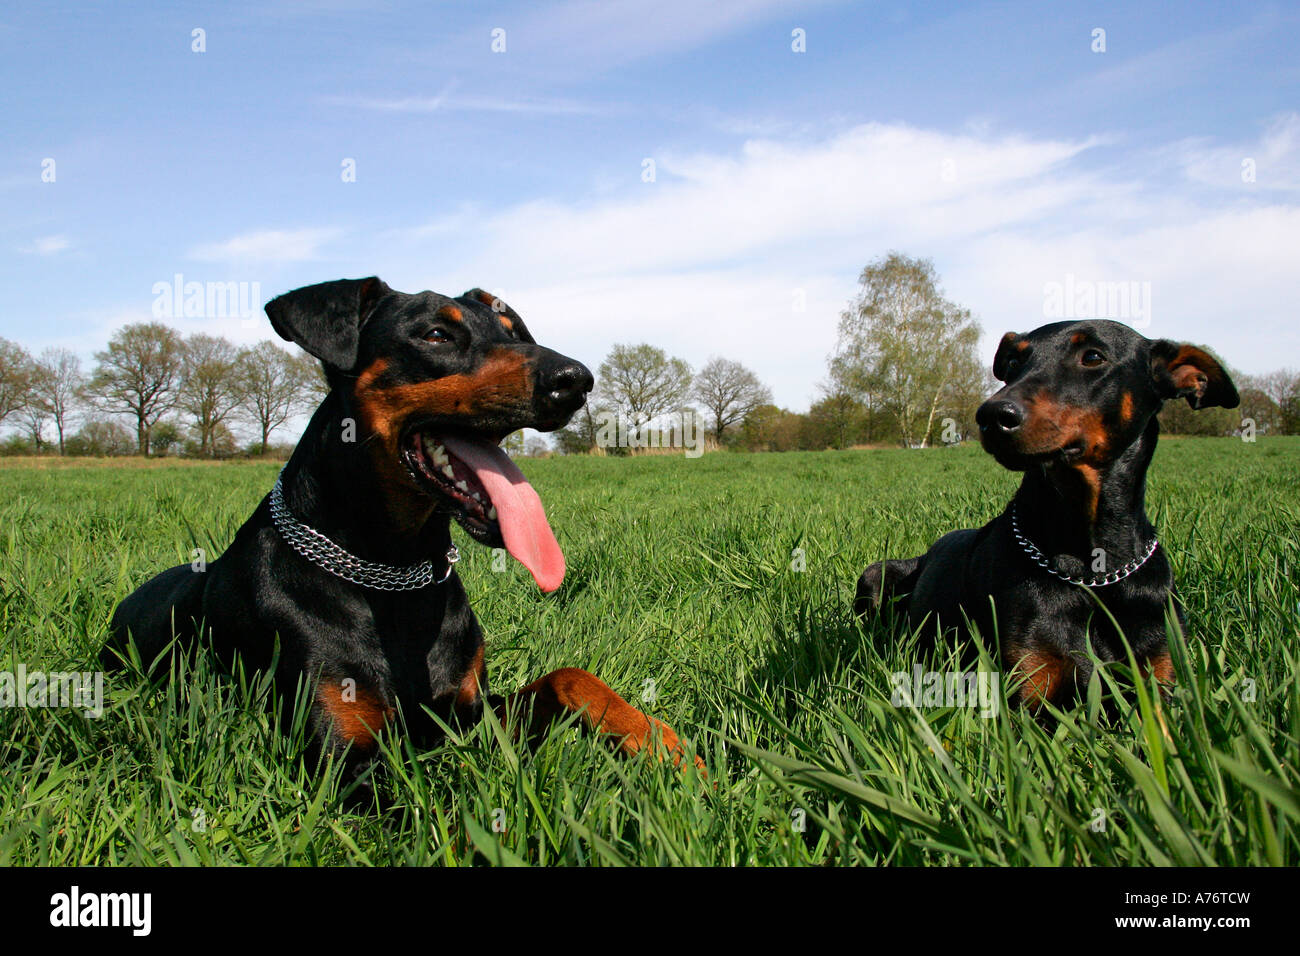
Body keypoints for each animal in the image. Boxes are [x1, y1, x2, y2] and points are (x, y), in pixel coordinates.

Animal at [104, 278, 702, 785]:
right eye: (436, 335)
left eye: (512, 332)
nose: (575, 380)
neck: (392, 572)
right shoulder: (346, 760)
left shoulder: (468, 712)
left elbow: (568, 675)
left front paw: (660, 742)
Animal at [852, 321, 1237, 712]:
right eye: (1013, 361)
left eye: (1093, 357)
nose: (992, 416)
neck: (1094, 571)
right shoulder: (1031, 685)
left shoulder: (1161, 679)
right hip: (874, 575)